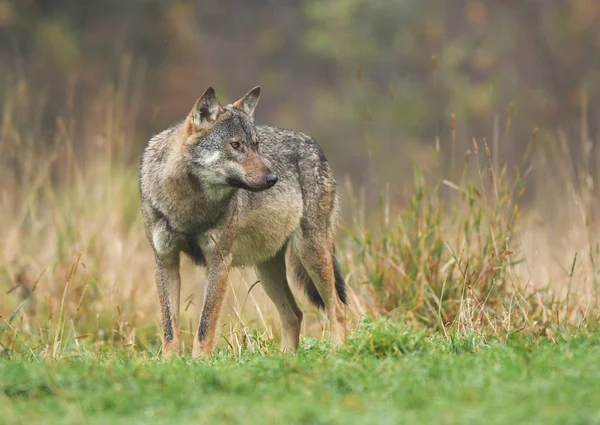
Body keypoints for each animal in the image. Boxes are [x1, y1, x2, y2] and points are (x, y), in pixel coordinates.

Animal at [139, 85, 346, 354]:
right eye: (236, 145)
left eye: (256, 145)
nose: (272, 179)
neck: (189, 205)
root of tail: (316, 146)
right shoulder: (165, 261)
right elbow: (169, 328)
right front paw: (170, 360)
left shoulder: (219, 261)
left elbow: (205, 326)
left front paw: (199, 360)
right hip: (267, 270)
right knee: (294, 314)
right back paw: (286, 358)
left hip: (310, 254)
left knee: (337, 309)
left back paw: (337, 352)